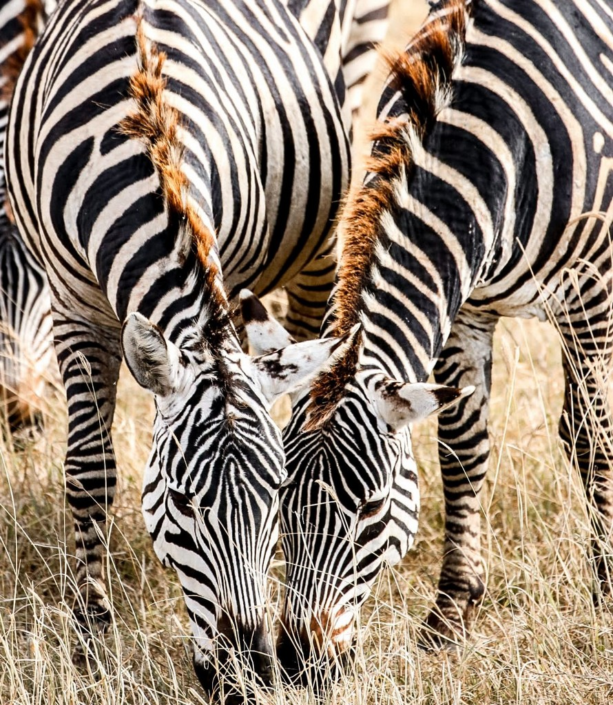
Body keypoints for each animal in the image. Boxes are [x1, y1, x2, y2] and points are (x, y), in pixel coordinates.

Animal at [6, 0, 389, 698]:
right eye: (182, 503)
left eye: (276, 495)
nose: (248, 678)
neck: (138, 129)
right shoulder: (75, 308)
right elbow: (89, 474)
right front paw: (90, 638)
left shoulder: (226, 274)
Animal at [251, 0, 613, 683]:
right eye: (280, 505)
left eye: (370, 511)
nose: (300, 665)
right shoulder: (464, 308)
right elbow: (462, 451)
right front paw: (450, 614)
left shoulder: (593, 293)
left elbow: (592, 440)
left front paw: (607, 588)